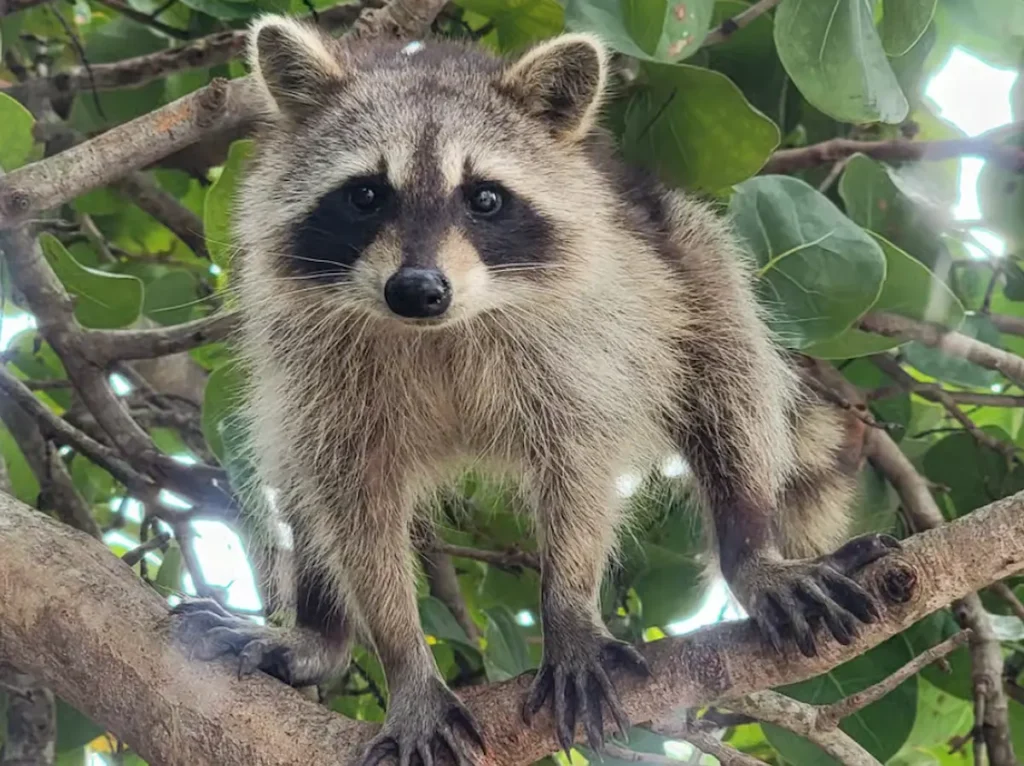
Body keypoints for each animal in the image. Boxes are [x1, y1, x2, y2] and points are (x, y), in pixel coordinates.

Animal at [173, 15, 899, 765]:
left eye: (485, 198)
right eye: (366, 194)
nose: (418, 289)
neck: (441, 328)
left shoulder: (582, 344)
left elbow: (579, 471)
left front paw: (570, 612)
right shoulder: (317, 364)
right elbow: (354, 505)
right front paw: (405, 661)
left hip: (689, 257)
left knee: (732, 386)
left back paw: (750, 548)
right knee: (298, 472)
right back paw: (322, 633)